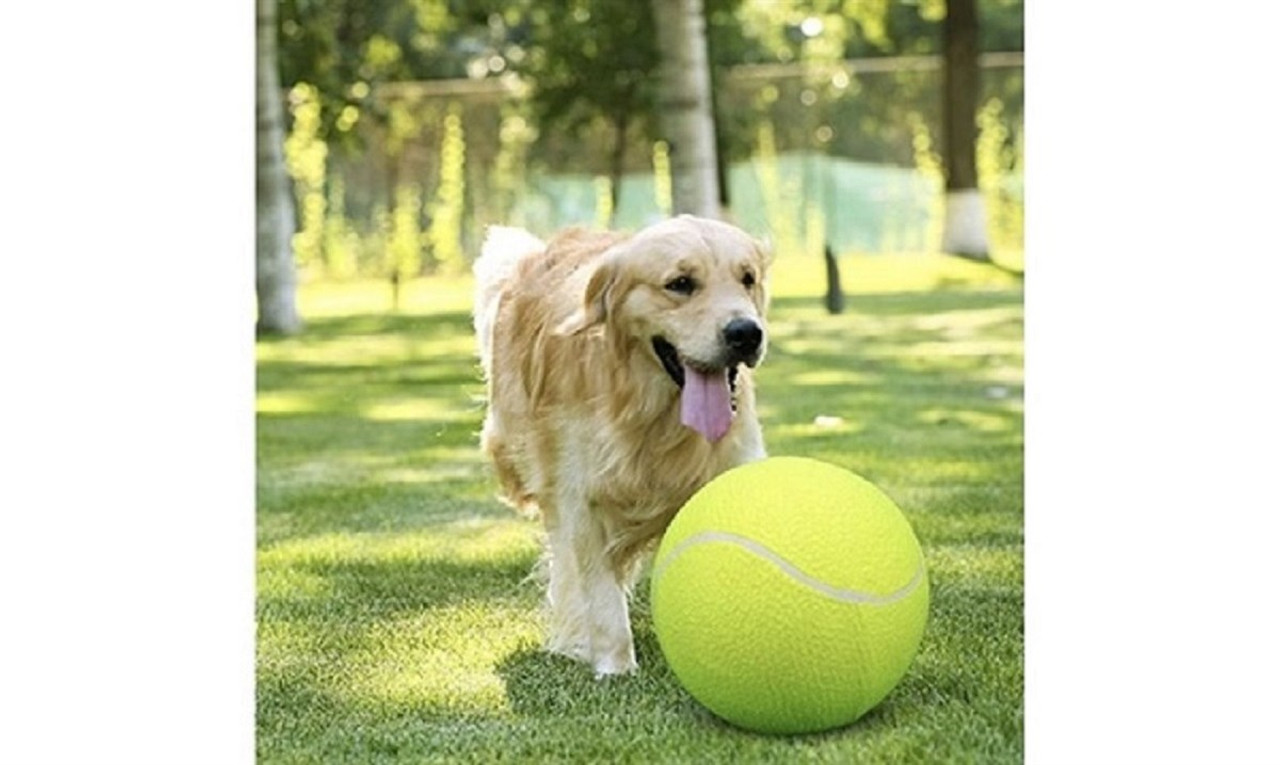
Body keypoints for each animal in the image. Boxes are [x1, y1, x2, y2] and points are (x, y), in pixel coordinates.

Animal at [473, 216, 762, 675]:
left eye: (747, 278)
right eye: (681, 283)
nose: (747, 333)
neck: (653, 418)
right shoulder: (581, 501)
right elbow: (601, 596)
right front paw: (616, 667)